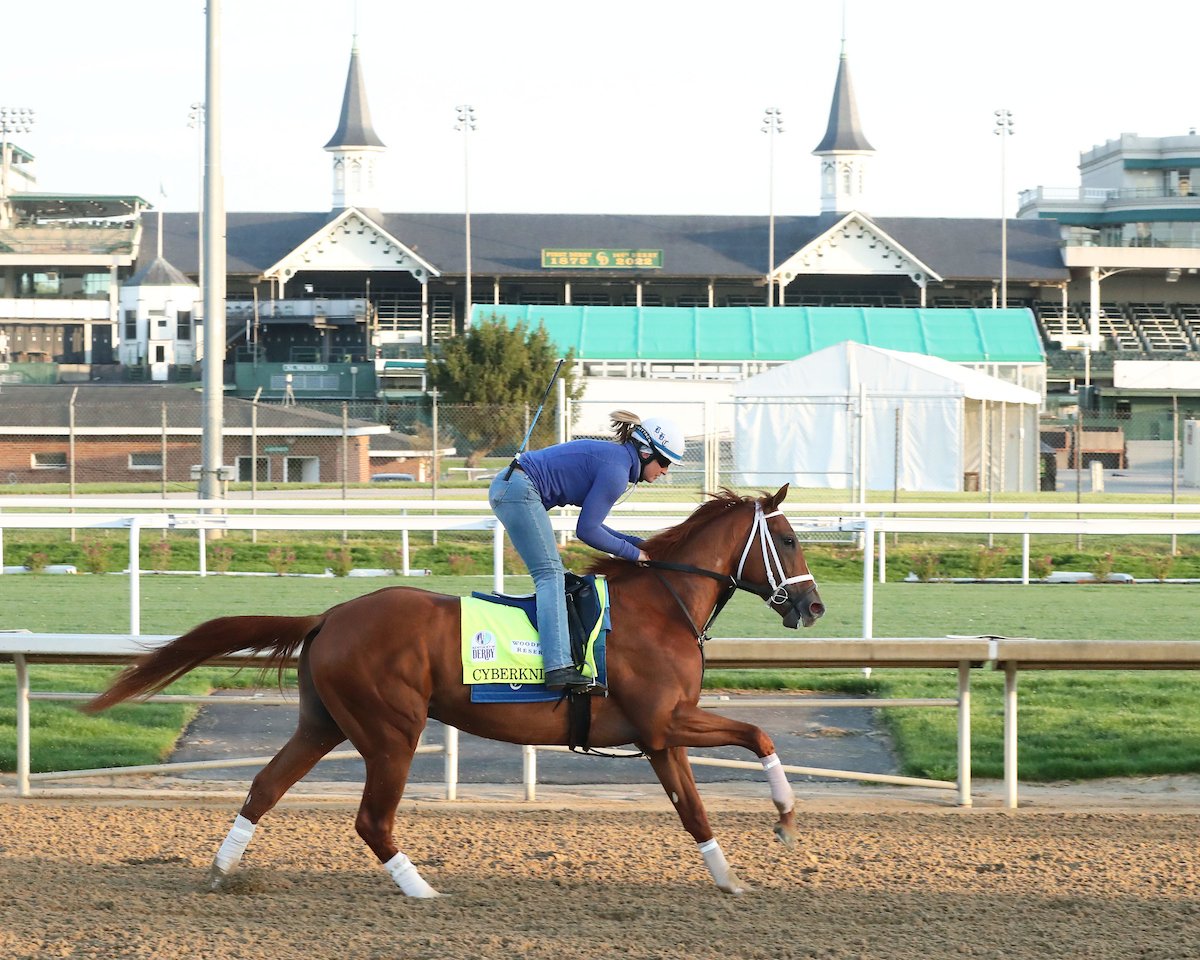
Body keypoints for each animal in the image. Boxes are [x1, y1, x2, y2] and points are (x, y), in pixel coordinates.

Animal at [87, 487, 825, 902]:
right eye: (789, 539)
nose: (813, 606)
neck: (660, 606)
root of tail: (329, 615)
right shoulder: (665, 721)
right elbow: (755, 739)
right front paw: (787, 820)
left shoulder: (659, 735)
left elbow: (698, 807)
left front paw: (732, 877)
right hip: (392, 730)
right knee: (371, 820)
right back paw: (421, 890)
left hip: (324, 723)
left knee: (265, 787)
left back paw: (220, 871)